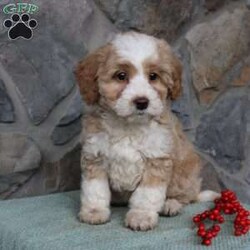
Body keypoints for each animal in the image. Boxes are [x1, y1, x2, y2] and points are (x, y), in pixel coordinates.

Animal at [74, 32, 219, 231]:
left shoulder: (157, 159)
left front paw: (141, 216)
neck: (129, 126)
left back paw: (171, 204)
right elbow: (94, 190)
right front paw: (94, 211)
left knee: (184, 196)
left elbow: (147, 195)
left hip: (184, 173)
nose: (142, 102)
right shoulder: (95, 155)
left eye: (153, 76)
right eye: (121, 76)